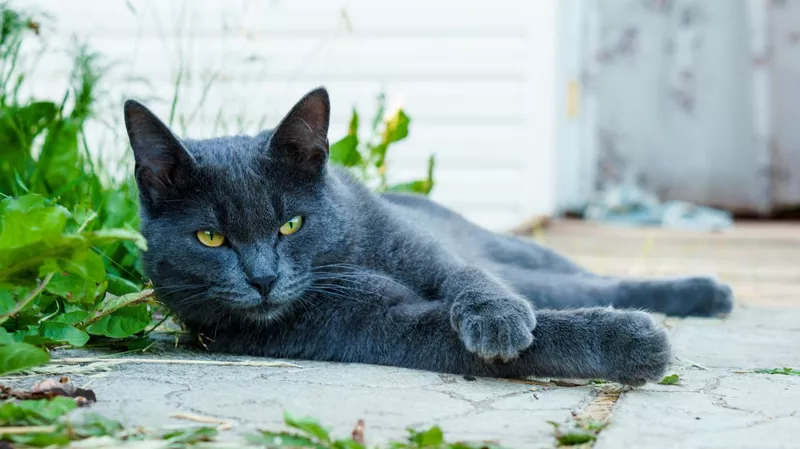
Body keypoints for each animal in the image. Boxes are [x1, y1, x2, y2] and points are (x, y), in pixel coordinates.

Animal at [123, 86, 732, 384]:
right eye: (210, 238)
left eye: (290, 223)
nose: (264, 279)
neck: (346, 256)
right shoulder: (366, 323)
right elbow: (445, 330)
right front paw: (632, 340)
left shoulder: (418, 250)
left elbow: (463, 275)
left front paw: (497, 317)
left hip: (512, 251)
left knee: (575, 278)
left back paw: (708, 292)